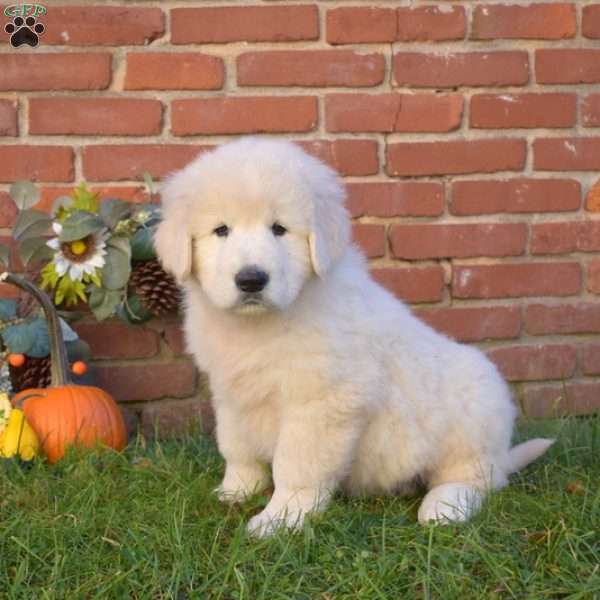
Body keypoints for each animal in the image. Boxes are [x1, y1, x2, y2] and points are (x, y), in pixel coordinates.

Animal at [155, 138, 552, 536]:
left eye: (279, 229)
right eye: (221, 230)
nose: (251, 279)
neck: (259, 326)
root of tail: (501, 454)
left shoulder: (322, 401)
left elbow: (296, 466)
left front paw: (280, 519)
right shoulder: (232, 395)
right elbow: (237, 447)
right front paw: (235, 491)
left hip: (474, 414)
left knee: (476, 479)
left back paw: (444, 506)